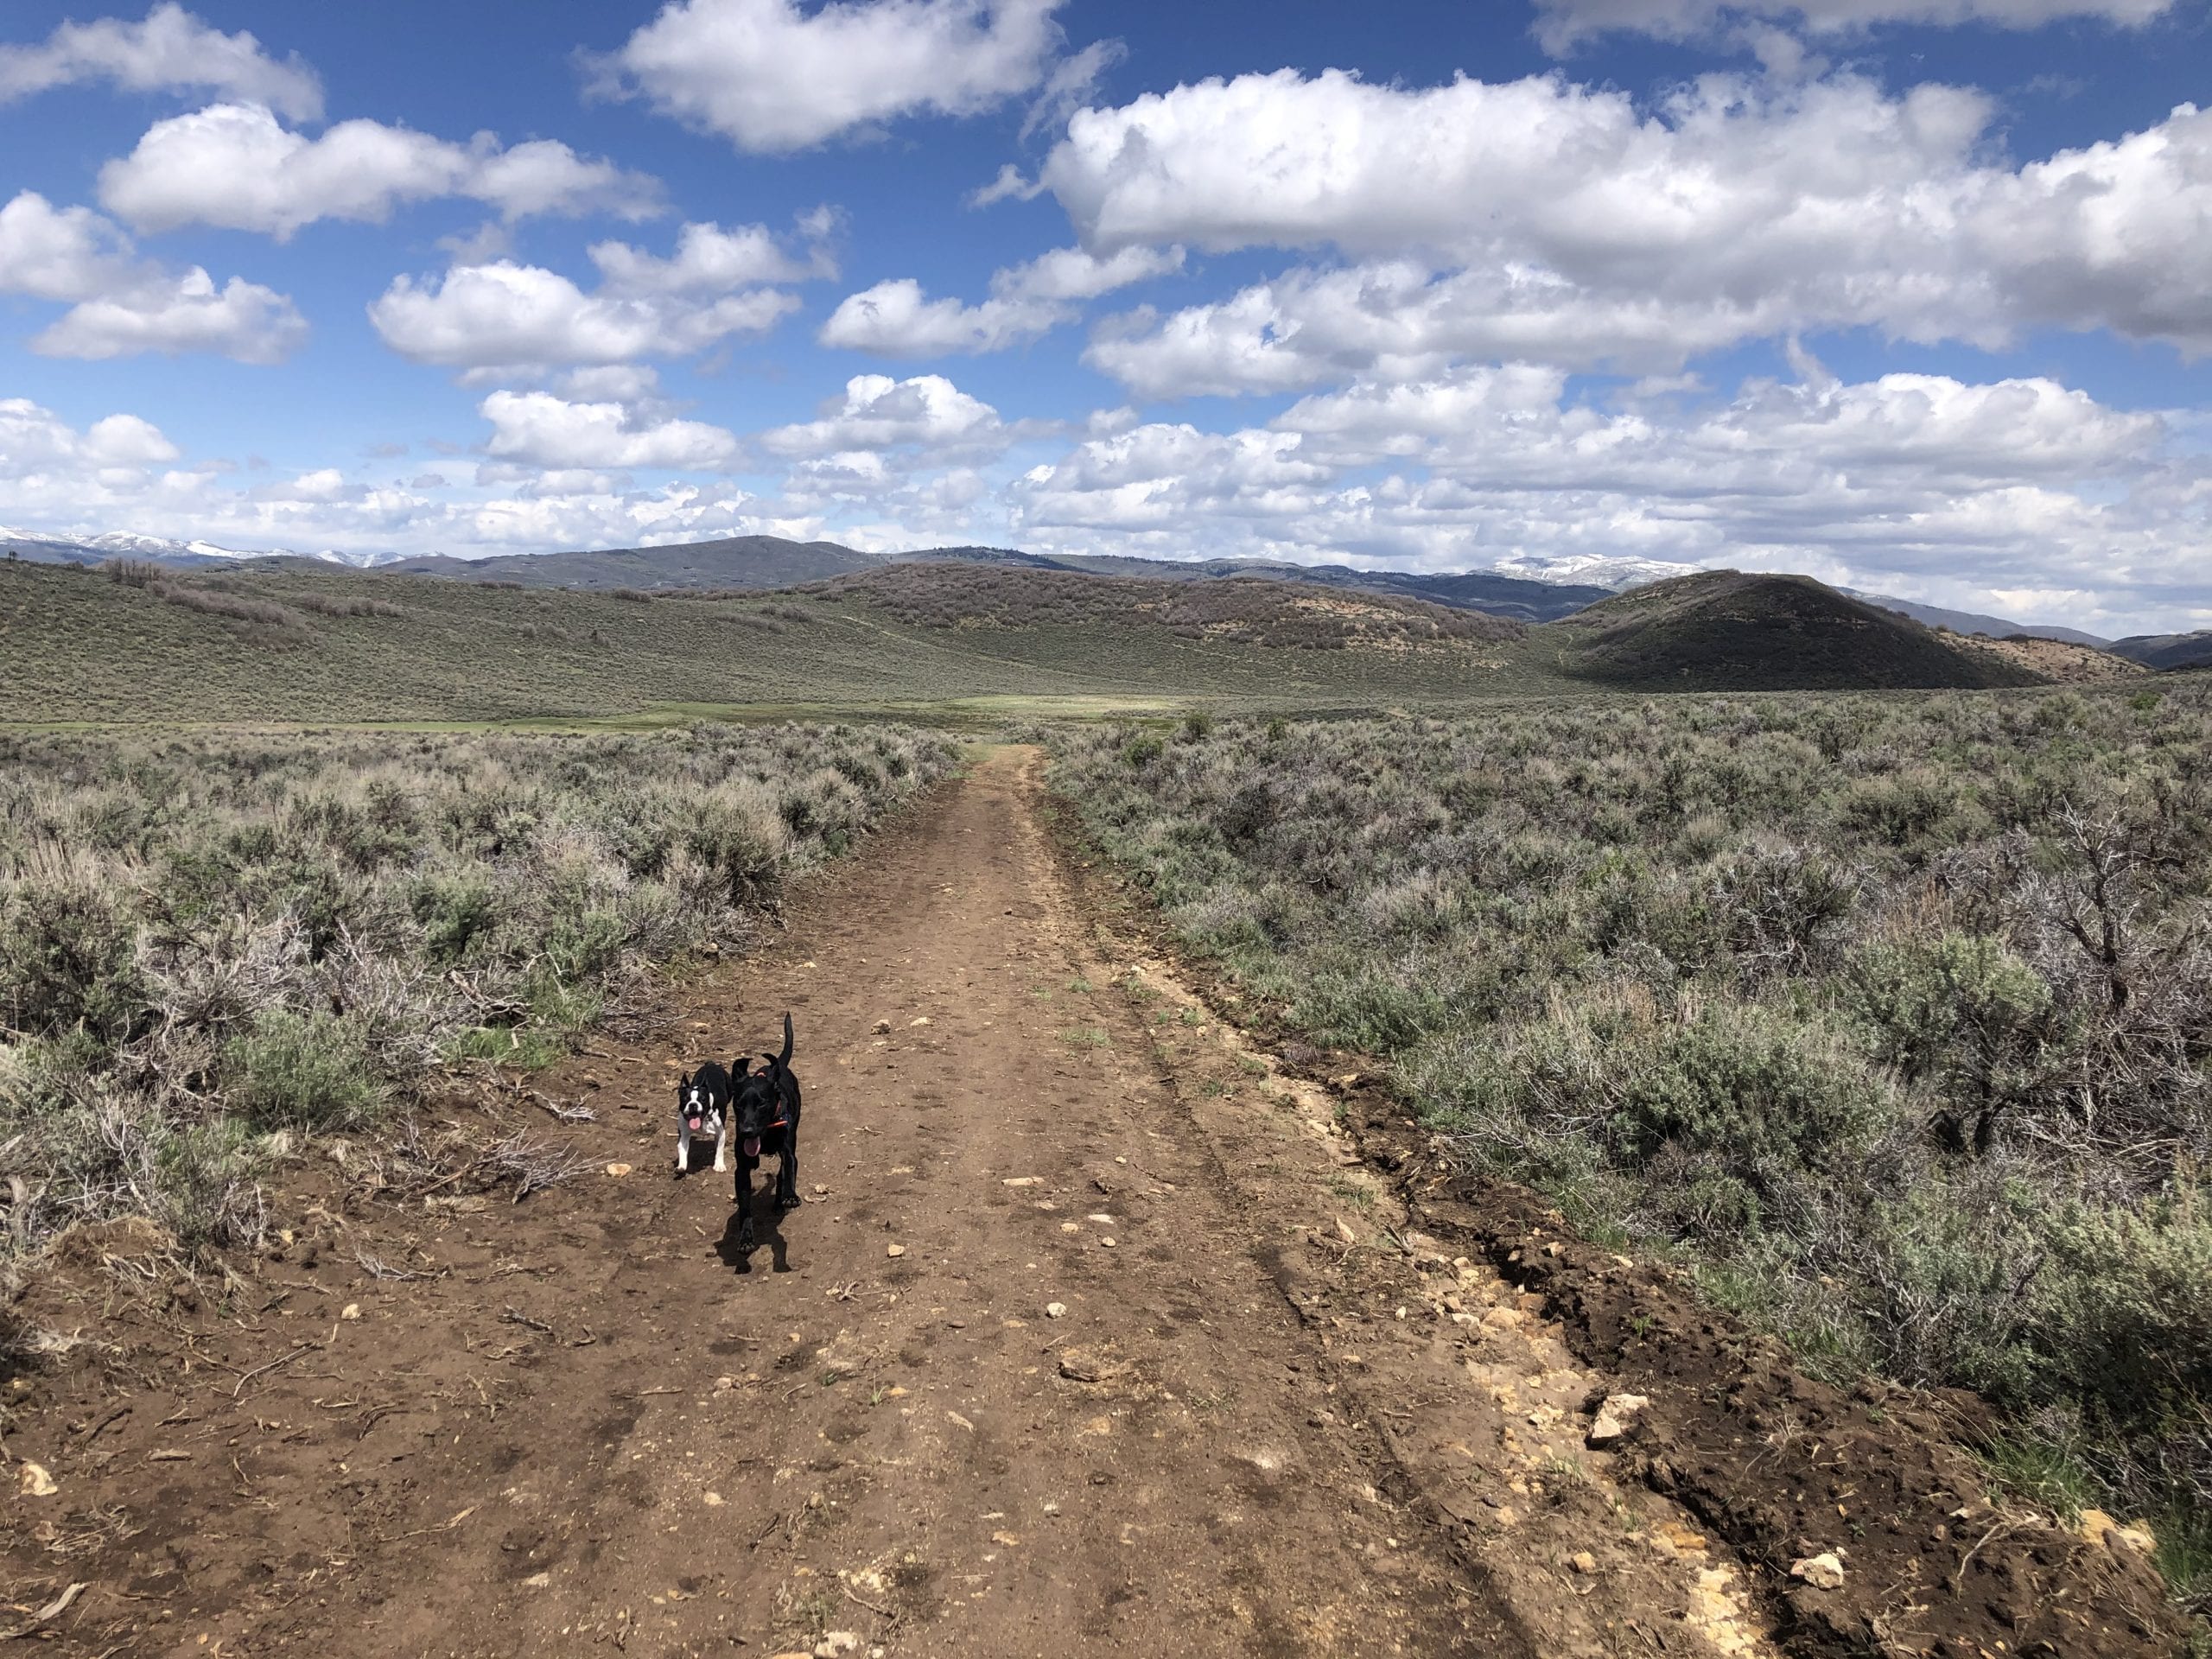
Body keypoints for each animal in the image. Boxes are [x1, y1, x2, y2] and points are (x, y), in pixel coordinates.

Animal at [672, 1065, 734, 1185]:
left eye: (703, 1099)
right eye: (685, 1099)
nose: (693, 1105)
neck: (703, 1120)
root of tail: (712, 1064)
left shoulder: (721, 1132)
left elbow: (720, 1149)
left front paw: (719, 1165)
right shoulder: (683, 1136)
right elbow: (682, 1150)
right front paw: (681, 1166)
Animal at [725, 1021, 804, 1256]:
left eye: (762, 1103)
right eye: (738, 1104)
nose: (747, 1131)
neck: (766, 1131)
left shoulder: (788, 1153)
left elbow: (788, 1170)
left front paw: (789, 1195)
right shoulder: (742, 1168)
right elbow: (745, 1209)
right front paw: (745, 1238)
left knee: (780, 1174)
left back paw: (780, 1201)